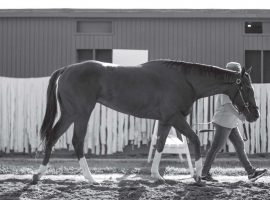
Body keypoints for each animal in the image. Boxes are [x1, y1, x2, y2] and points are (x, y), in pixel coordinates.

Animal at [31, 59, 260, 184]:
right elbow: (194, 139)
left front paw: (157, 176)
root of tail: (67, 69)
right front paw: (196, 176)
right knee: (76, 141)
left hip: (70, 114)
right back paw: (90, 178)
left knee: (53, 137)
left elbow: (160, 145)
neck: (185, 80)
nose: (254, 116)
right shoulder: (175, 117)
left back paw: (38, 175)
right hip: (80, 113)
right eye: (248, 88)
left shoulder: (166, 120)